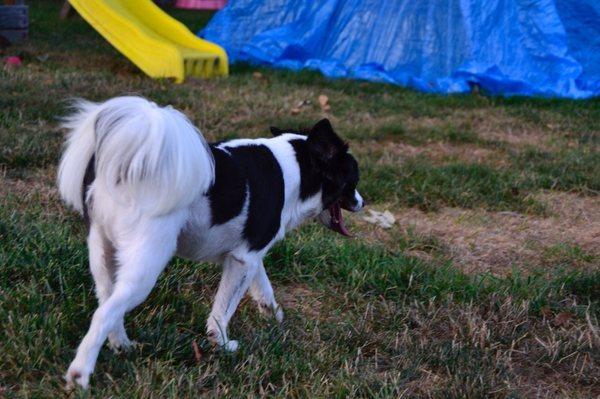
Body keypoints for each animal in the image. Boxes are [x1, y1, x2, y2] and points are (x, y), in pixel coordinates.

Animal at [57, 97, 366, 390]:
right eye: (352, 180)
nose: (363, 202)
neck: (295, 169)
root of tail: (126, 165)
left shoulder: (248, 254)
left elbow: (262, 283)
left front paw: (272, 313)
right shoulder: (243, 259)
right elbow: (223, 309)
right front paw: (222, 343)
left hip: (104, 254)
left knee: (108, 304)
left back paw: (123, 346)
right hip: (145, 265)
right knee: (104, 313)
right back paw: (80, 375)